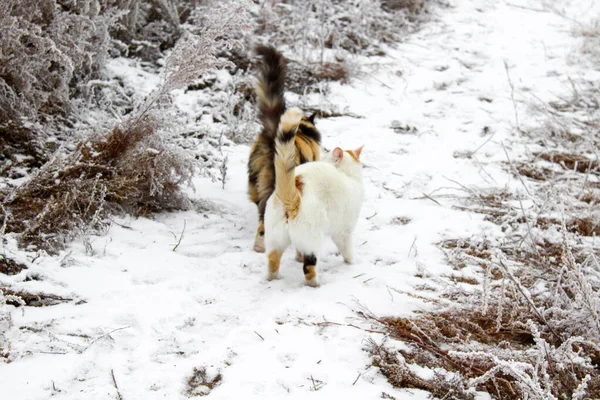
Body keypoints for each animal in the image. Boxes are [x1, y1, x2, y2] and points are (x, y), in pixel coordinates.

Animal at [264, 108, 366, 286]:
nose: (323, 153)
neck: (347, 174)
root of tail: (292, 194)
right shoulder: (343, 232)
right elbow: (348, 251)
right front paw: (353, 262)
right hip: (314, 238)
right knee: (309, 269)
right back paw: (316, 284)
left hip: (274, 239)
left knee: (272, 261)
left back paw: (275, 278)